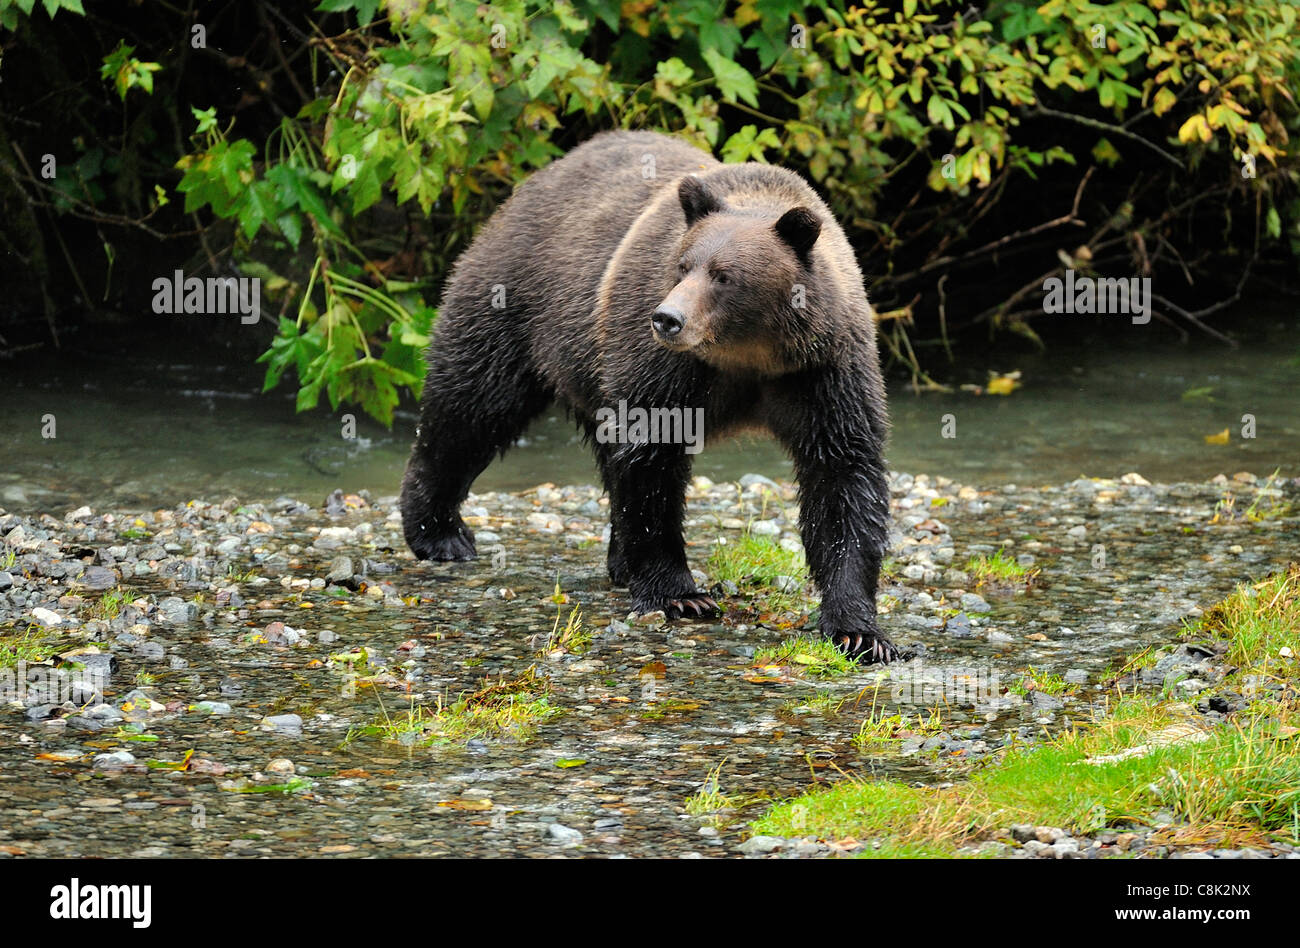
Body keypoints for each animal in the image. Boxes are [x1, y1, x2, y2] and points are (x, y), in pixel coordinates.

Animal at [400, 129, 899, 663]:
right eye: (683, 266)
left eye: (724, 275)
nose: (667, 319)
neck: (747, 356)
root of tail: (539, 179)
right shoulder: (666, 365)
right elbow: (652, 458)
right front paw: (680, 594)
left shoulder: (821, 370)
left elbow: (842, 474)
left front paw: (859, 630)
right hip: (517, 303)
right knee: (471, 406)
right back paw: (441, 533)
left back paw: (618, 562)